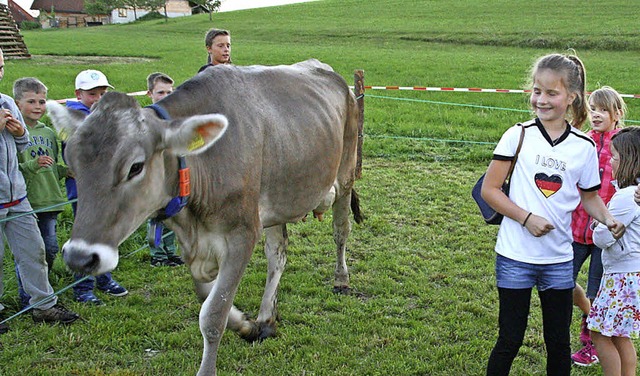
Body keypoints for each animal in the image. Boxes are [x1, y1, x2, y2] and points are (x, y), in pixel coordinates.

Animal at [47, 58, 362, 374]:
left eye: (135, 167)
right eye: (71, 161)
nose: (79, 257)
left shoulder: (242, 234)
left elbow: (212, 315)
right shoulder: (193, 243)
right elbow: (206, 297)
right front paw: (246, 325)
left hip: (345, 174)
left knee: (340, 231)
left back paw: (341, 280)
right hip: (278, 200)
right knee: (278, 254)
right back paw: (266, 318)